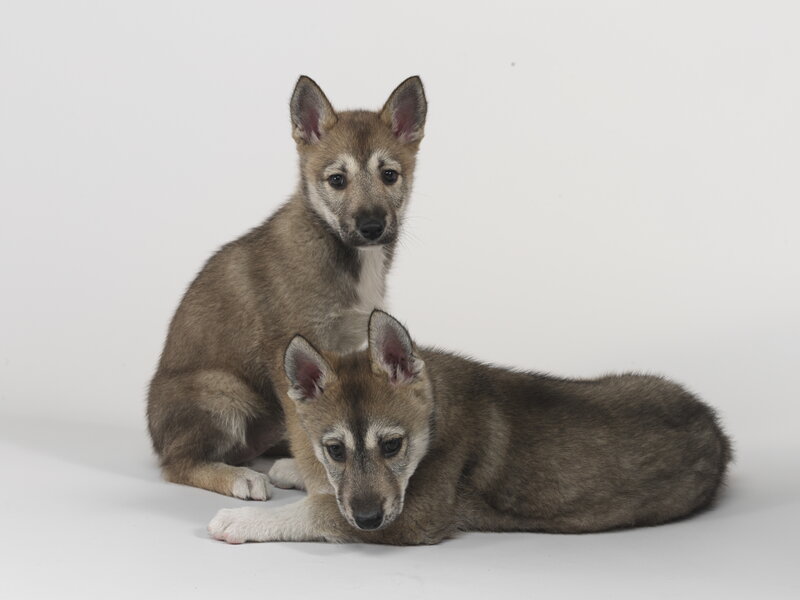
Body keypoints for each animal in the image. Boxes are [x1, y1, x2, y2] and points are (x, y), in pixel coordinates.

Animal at [147, 77, 427, 500]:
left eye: (390, 175)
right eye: (337, 180)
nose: (372, 227)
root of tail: (154, 437)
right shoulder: (286, 352)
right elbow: (309, 430)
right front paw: (321, 483)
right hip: (223, 390)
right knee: (177, 465)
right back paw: (240, 478)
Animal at [208, 310, 732, 544]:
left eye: (392, 445)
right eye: (335, 450)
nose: (369, 518)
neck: (436, 417)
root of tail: (720, 435)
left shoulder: (415, 517)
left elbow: (318, 511)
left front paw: (242, 521)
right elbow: (327, 491)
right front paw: (292, 468)